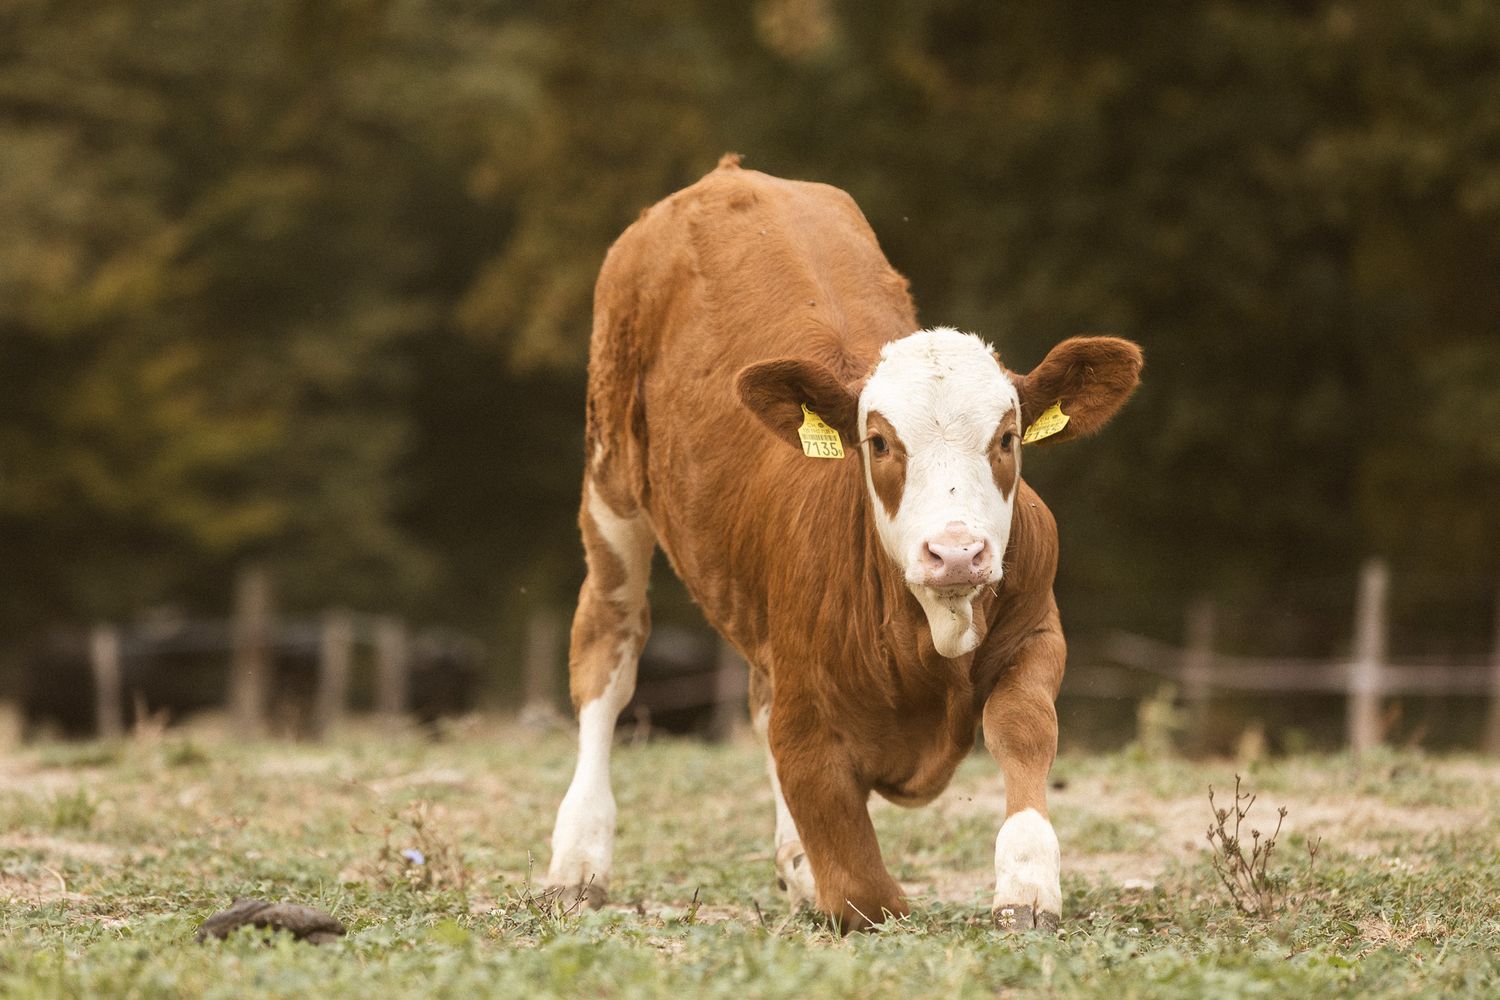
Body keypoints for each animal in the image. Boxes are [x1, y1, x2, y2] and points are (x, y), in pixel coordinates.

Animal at [545, 154, 1142, 932]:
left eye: (1008, 437)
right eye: (879, 441)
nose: (956, 552)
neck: (929, 637)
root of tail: (726, 176)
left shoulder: (1037, 626)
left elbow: (1024, 726)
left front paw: (1027, 880)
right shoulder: (807, 722)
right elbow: (863, 885)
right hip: (609, 483)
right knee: (608, 655)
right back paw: (578, 859)